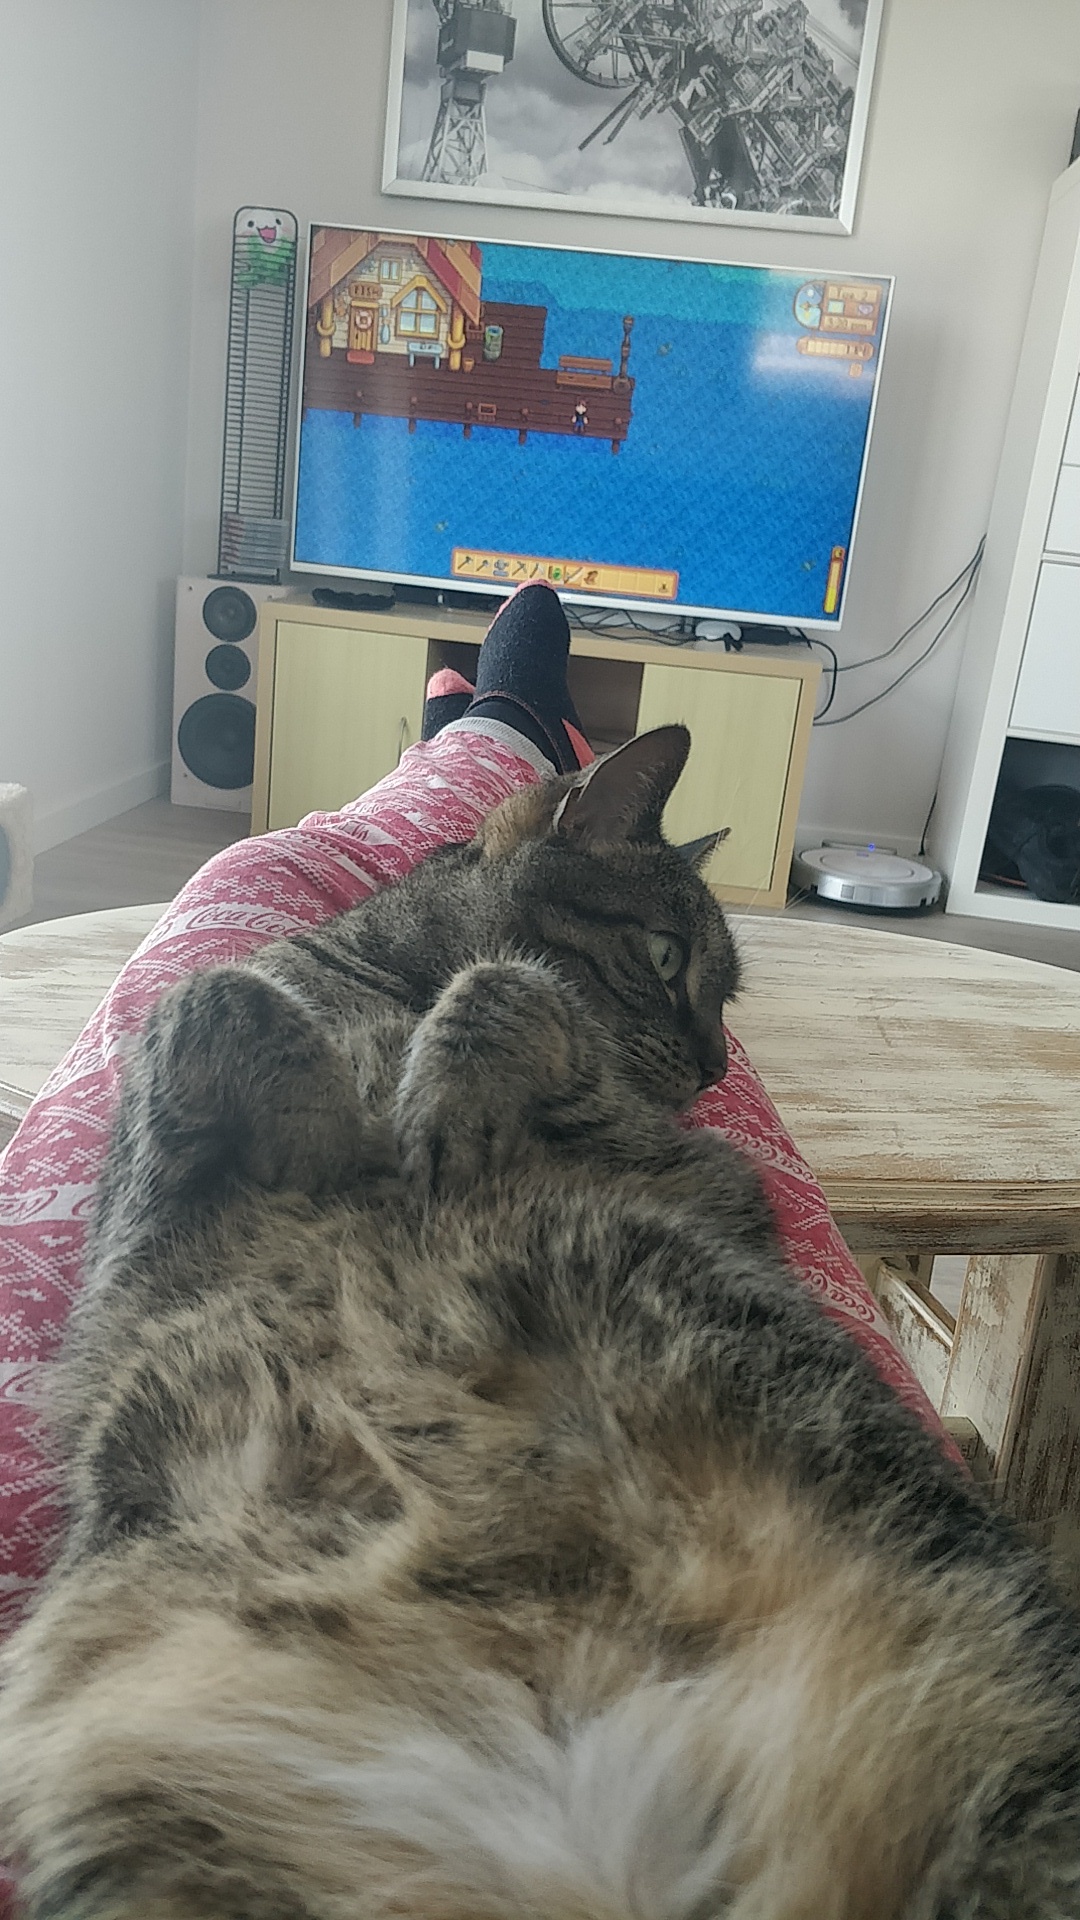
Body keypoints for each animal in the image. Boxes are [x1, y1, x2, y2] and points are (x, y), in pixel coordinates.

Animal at [2, 724, 1080, 1920]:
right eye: (664, 956)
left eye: (727, 1000)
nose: (715, 1064)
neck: (385, 978)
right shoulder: (134, 1238)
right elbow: (212, 995)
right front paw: (327, 1125)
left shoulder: (686, 1168)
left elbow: (509, 984)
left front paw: (429, 1096)